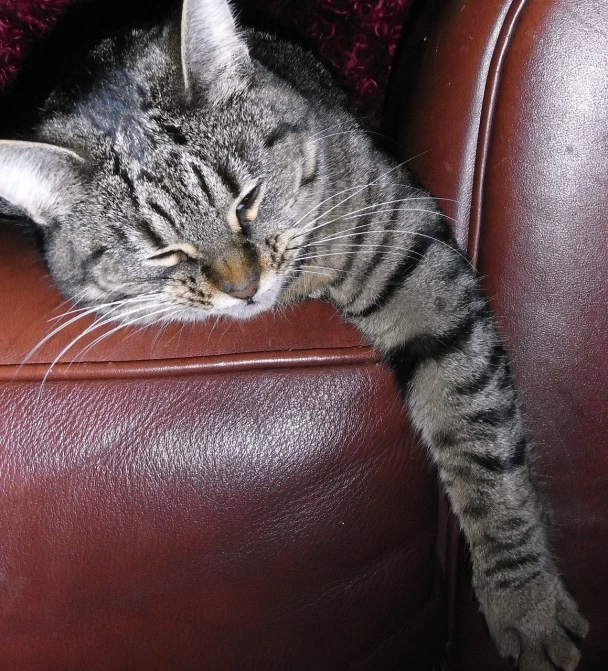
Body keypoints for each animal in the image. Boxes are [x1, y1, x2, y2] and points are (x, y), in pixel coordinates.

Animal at [0, 0, 588, 668]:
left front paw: (526, 601)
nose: (244, 287)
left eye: (246, 200)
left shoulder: (408, 253)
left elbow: (479, 437)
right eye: (164, 253)